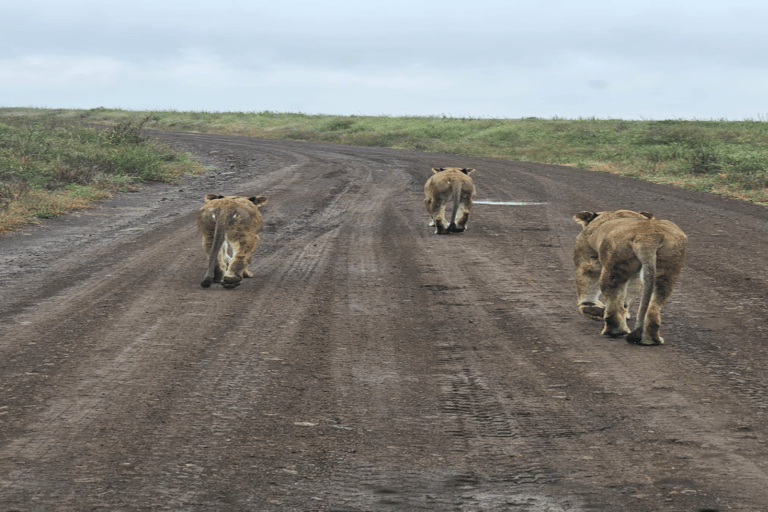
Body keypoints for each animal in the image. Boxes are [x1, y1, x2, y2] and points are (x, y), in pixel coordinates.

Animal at [572, 210, 688, 346]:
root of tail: (648, 237)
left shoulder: (587, 256)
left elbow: (588, 278)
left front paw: (591, 308)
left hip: (617, 260)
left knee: (613, 297)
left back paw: (615, 331)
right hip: (669, 261)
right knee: (655, 302)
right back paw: (651, 339)